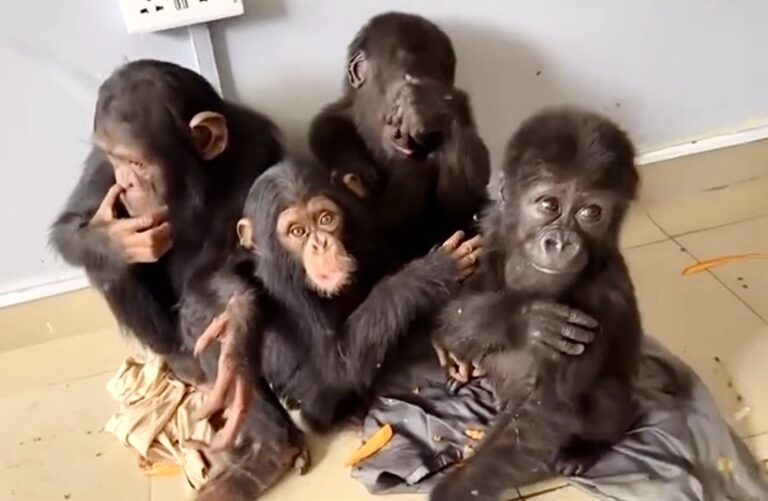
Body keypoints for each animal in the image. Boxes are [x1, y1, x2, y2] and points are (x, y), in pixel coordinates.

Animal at [430, 107, 643, 501]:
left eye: (591, 213)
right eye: (549, 205)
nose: (561, 242)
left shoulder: (602, 291)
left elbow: (543, 411)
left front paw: (451, 493)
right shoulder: (491, 231)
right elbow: (454, 308)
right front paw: (523, 319)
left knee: (609, 395)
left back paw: (587, 447)